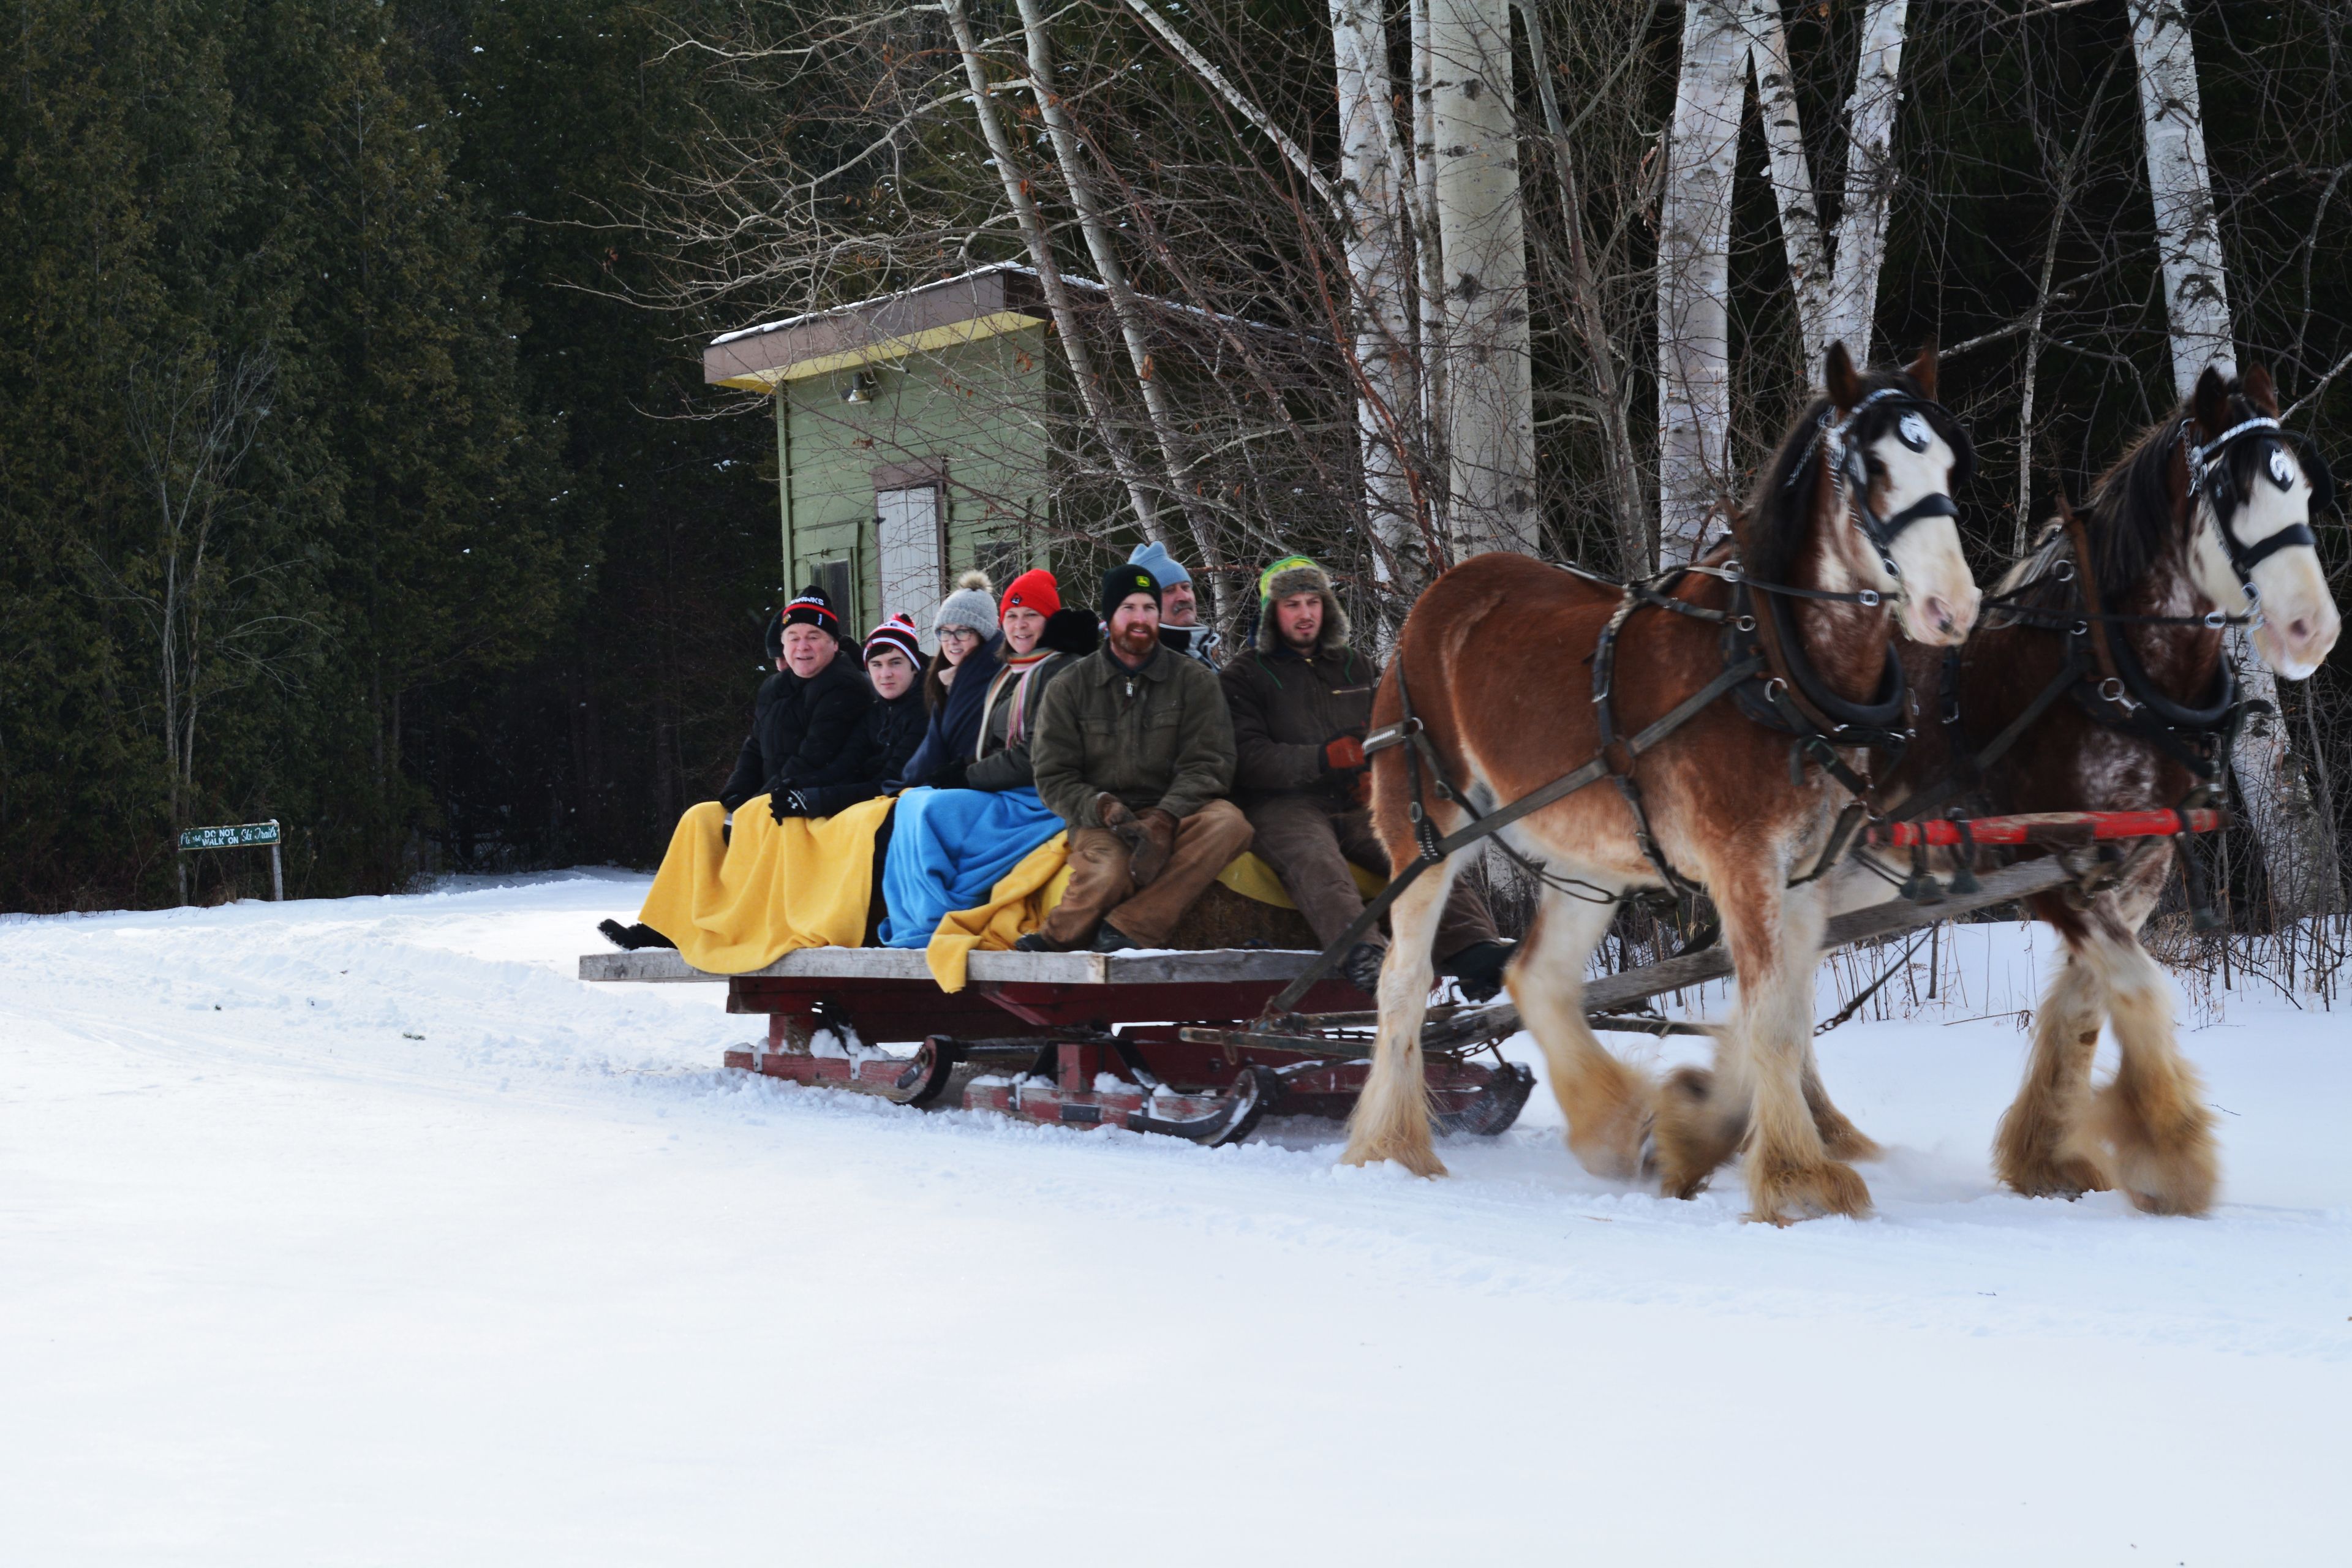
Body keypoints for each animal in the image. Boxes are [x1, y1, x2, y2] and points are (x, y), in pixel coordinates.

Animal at [1341, 344, 1983, 1223]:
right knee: (1403, 985)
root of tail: (1435, 599)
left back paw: (1616, 1125)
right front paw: (1795, 1179)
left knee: (1537, 977)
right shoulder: (1743, 864)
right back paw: (1394, 1146)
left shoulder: (1805, 876)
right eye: (1874, 467)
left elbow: (1783, 1015)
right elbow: (1771, 1021)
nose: (1953, 607)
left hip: (1586, 857)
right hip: (1427, 832)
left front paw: (1712, 1131)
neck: (1772, 668)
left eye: (1948, 463)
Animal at [1813, 363, 2340, 1216]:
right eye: (2232, 491)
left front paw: (2048, 1156)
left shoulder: (2140, 863)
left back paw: (1827, 1135)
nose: (2312, 630)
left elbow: (2088, 1002)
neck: (2102, 670)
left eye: (2302, 490)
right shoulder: (2048, 860)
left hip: (1853, 876)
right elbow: (2139, 985)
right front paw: (2173, 1152)